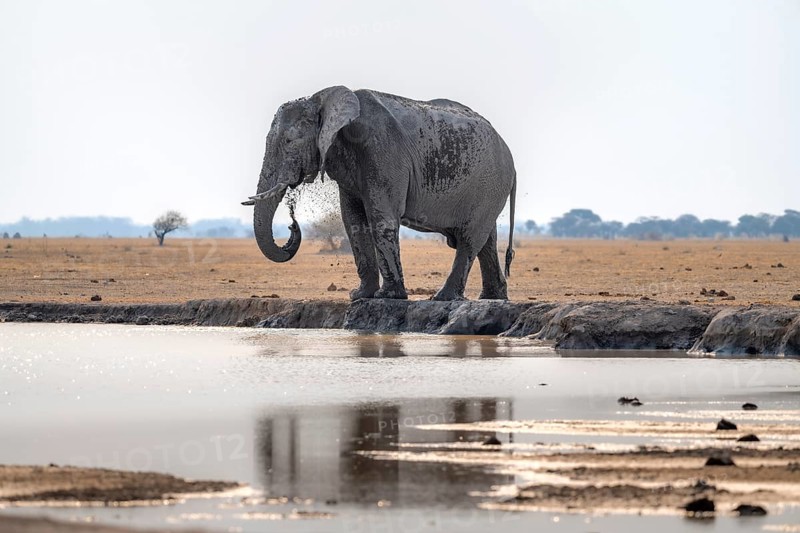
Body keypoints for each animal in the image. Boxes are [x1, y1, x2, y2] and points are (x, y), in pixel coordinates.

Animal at [243, 86, 517, 301]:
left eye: (290, 141)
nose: (292, 224)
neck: (322, 99)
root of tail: (511, 158)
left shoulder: (383, 150)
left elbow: (380, 218)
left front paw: (388, 297)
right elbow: (353, 221)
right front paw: (359, 296)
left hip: (490, 183)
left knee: (470, 239)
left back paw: (443, 298)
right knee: (487, 241)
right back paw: (493, 298)